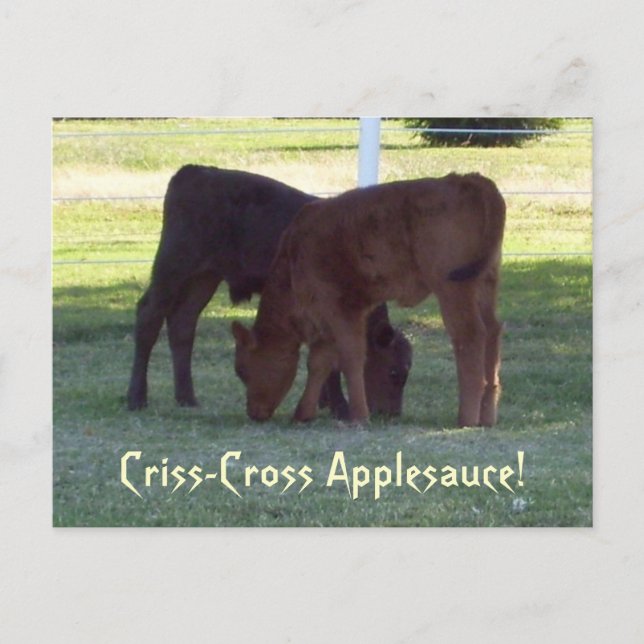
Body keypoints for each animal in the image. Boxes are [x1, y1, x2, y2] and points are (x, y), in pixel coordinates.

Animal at [126, 165, 412, 418]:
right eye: (394, 373)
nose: (392, 413)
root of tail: (195, 171)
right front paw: (338, 406)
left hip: (204, 278)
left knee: (183, 323)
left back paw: (187, 398)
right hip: (172, 268)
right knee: (149, 316)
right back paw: (136, 398)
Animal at [232, 173, 505, 427]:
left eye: (242, 371)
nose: (254, 413)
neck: (293, 256)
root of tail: (467, 180)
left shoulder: (342, 309)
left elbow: (351, 358)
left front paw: (359, 416)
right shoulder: (327, 319)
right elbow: (319, 362)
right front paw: (303, 414)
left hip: (452, 289)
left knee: (470, 335)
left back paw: (466, 418)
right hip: (485, 283)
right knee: (492, 331)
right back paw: (487, 417)